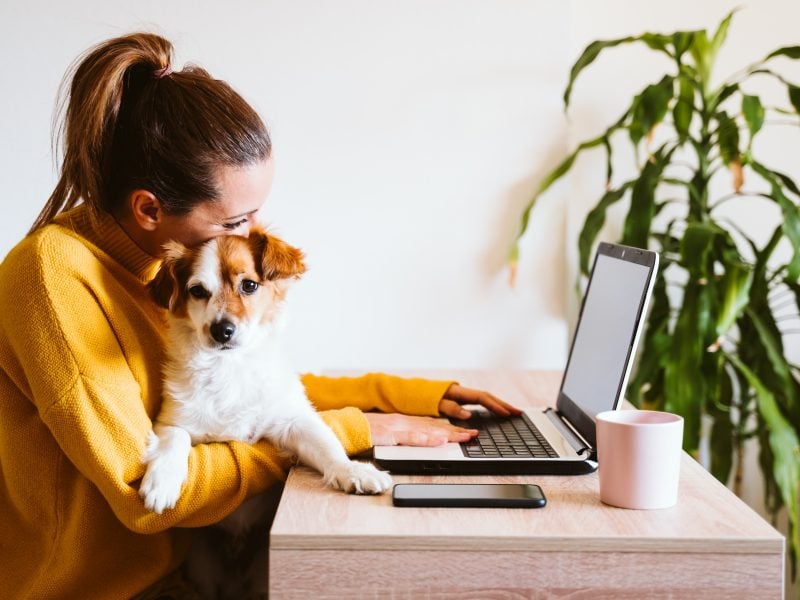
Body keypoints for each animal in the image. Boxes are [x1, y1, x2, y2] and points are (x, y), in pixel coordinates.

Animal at [138, 225, 394, 516]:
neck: (229, 367)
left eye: (249, 285)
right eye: (197, 291)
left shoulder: (293, 420)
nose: (221, 330)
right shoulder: (171, 421)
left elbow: (327, 444)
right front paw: (162, 481)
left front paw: (353, 470)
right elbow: (173, 441)